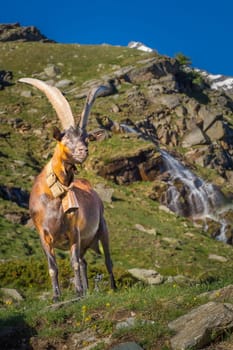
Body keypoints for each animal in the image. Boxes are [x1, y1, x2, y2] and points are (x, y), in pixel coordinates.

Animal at [18, 78, 116, 300]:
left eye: (86, 138)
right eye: (65, 138)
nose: (83, 150)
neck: (54, 197)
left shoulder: (74, 232)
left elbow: (73, 263)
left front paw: (78, 292)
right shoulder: (43, 234)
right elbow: (53, 266)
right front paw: (57, 296)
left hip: (102, 228)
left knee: (106, 260)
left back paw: (112, 288)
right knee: (84, 261)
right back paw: (87, 290)